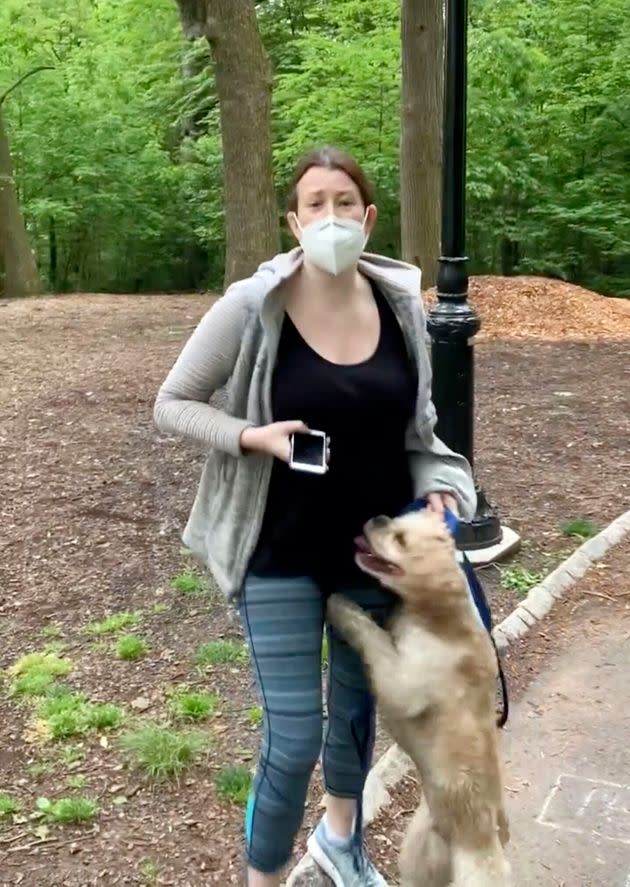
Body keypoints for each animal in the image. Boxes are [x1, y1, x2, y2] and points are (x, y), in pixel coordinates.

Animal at [328, 510, 512, 887]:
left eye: (400, 540)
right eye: (400, 517)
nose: (377, 517)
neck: (440, 617)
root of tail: (487, 842)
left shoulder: (403, 681)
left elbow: (371, 634)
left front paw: (339, 605)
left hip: (418, 850)